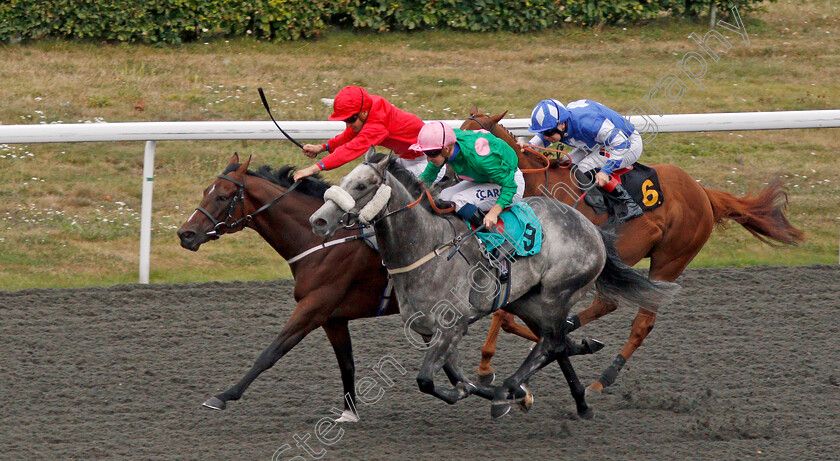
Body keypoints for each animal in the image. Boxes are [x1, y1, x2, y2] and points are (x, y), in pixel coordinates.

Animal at [176, 154, 398, 420]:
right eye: (204, 191)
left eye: (223, 196)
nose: (185, 233)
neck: (324, 241)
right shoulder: (333, 318)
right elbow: (346, 363)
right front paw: (349, 412)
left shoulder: (313, 307)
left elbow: (270, 353)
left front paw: (223, 396)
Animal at [308, 150, 676, 416]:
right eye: (343, 177)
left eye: (361, 186)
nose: (319, 220)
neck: (426, 247)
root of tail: (591, 228)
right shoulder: (431, 330)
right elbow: (455, 378)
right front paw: (485, 392)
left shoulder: (451, 326)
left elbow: (426, 380)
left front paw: (503, 394)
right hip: (525, 300)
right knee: (554, 341)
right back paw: (578, 392)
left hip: (558, 292)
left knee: (551, 343)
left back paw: (513, 387)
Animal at [462, 110, 804, 392]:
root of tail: (702, 192)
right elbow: (506, 313)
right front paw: (488, 366)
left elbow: (510, 314)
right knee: (606, 304)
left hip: (669, 260)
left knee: (641, 322)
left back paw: (603, 379)